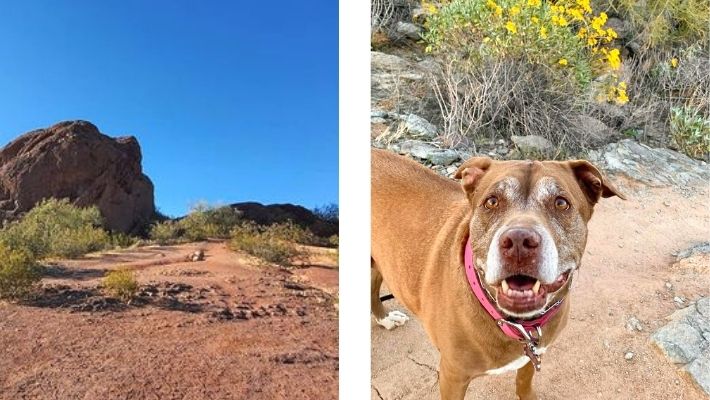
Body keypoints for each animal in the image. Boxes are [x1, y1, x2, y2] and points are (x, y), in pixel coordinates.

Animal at [370, 148, 624, 398]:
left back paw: (385, 319)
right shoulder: (452, 376)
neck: (518, 324)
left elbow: (523, 382)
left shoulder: (531, 356)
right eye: (492, 201)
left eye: (561, 203)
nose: (519, 240)